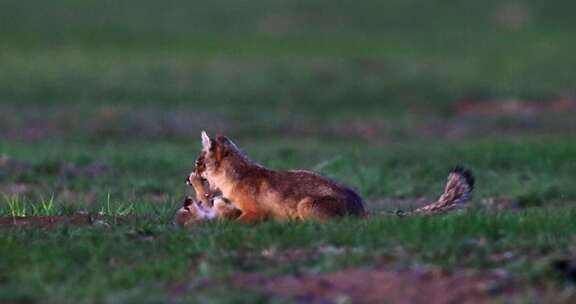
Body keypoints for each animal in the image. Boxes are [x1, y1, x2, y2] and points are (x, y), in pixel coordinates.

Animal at [186, 131, 364, 223]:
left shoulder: (255, 212)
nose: (187, 180)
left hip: (305, 205)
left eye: (197, 163)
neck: (237, 179)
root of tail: (362, 208)